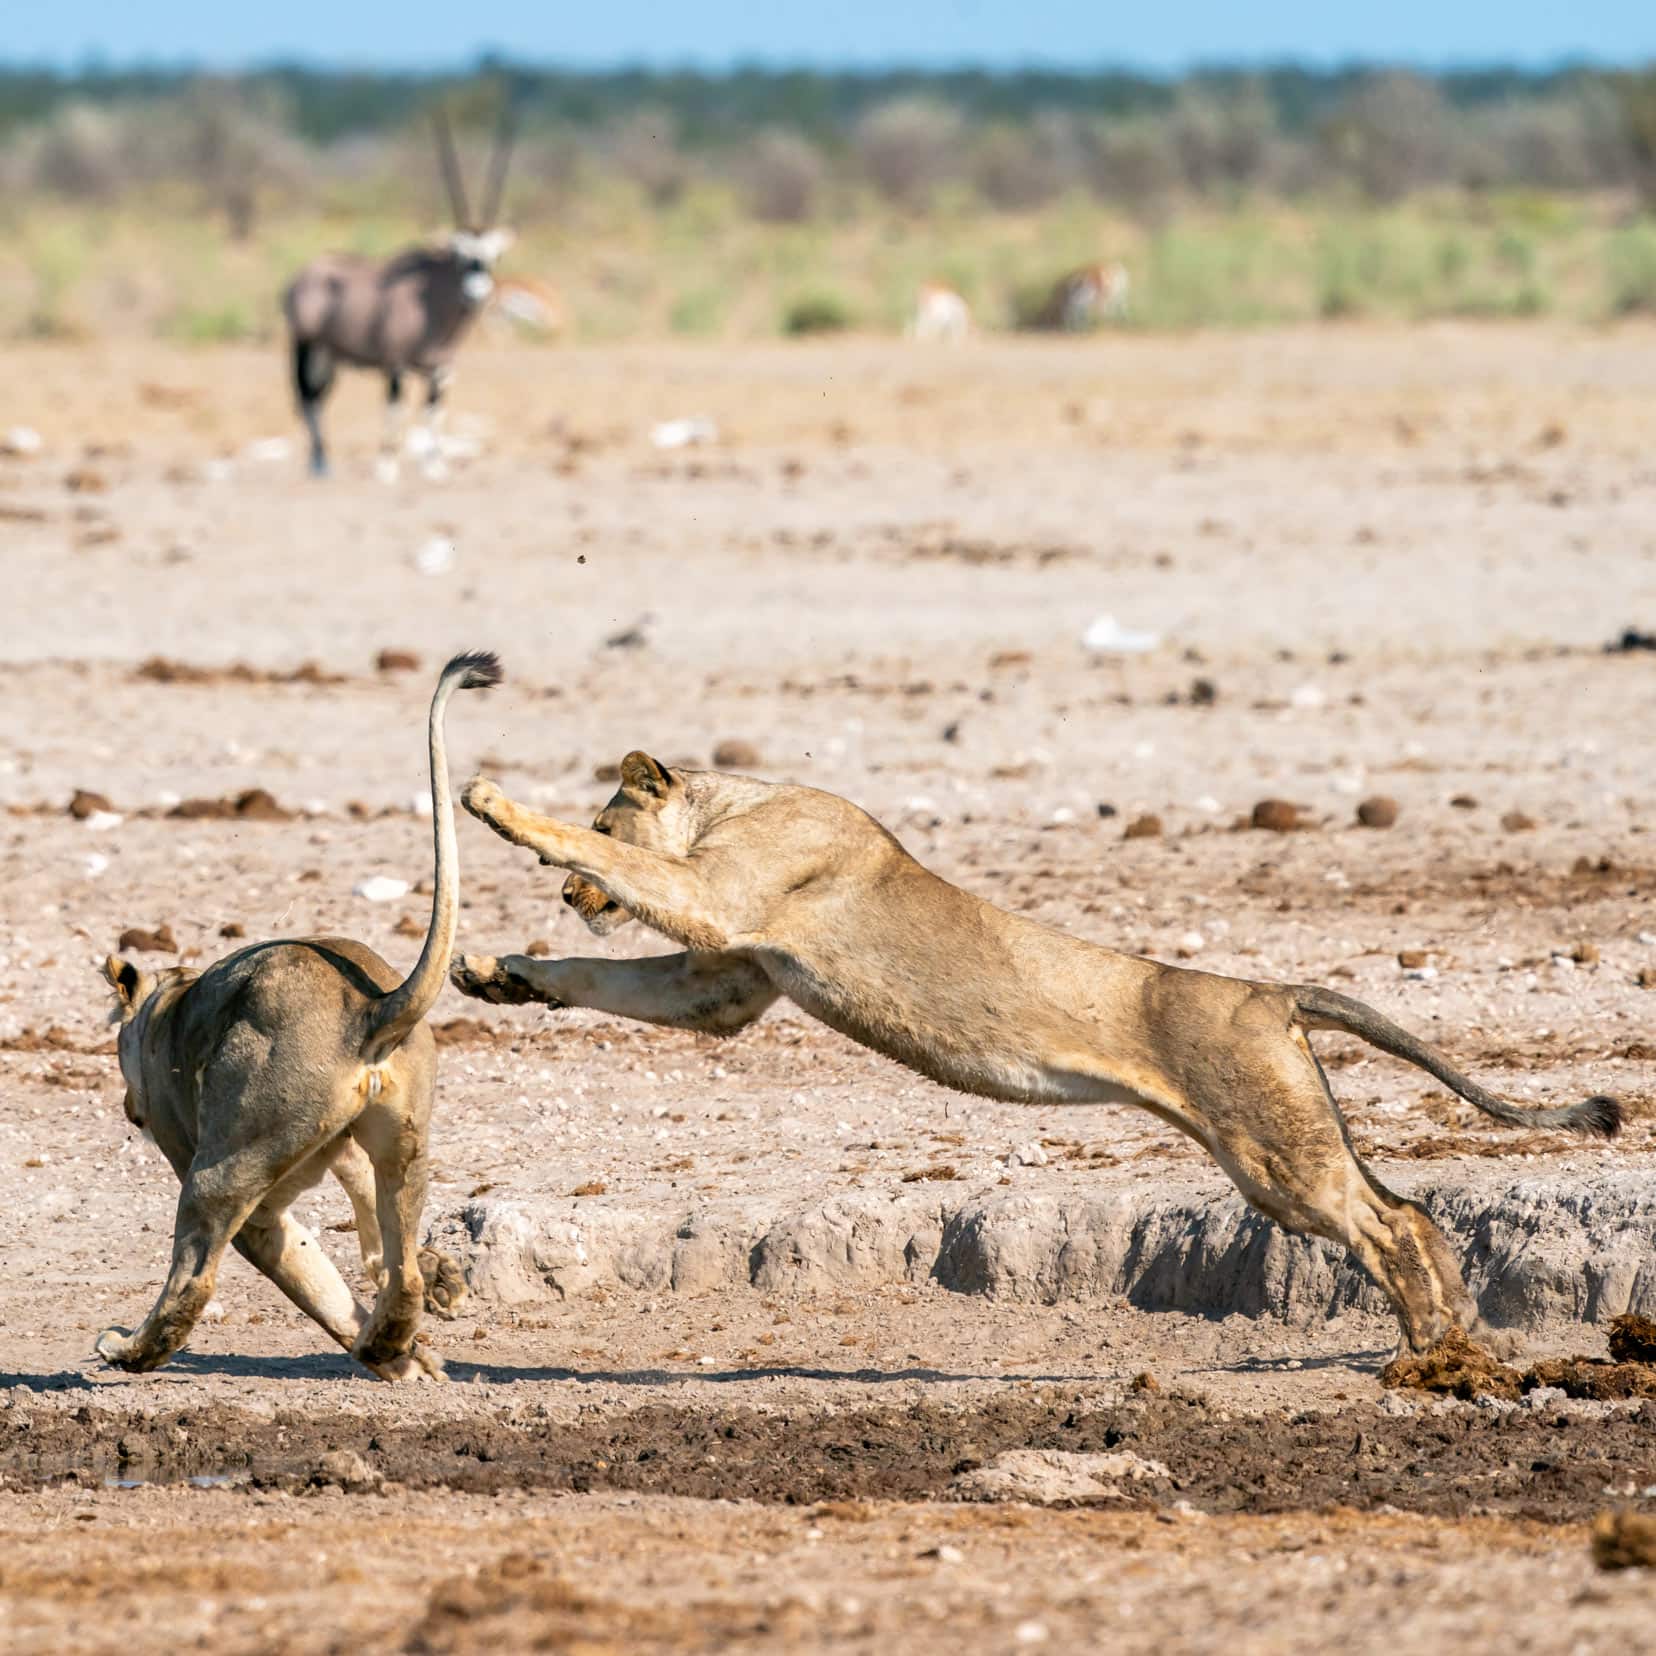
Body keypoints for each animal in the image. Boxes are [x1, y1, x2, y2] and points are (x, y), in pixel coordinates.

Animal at [95, 652, 496, 1377]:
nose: (127, 1108)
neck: (167, 1004)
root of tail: (366, 1007)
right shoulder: (345, 1155)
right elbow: (366, 1239)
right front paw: (422, 1326)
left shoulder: (232, 1177)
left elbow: (309, 1276)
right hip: (404, 1139)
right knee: (402, 1269)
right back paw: (392, 1338)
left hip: (225, 1161)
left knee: (195, 1277)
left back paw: (131, 1350)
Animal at [281, 108, 516, 480]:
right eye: (460, 255)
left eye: (495, 257)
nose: (476, 294)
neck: (433, 302)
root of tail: (305, 274)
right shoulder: (395, 365)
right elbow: (395, 410)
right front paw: (387, 466)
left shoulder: (441, 370)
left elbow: (434, 413)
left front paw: (435, 465)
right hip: (305, 345)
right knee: (307, 397)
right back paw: (319, 462)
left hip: (329, 355)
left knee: (319, 397)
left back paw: (322, 459)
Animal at [450, 758, 1616, 1351]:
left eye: (609, 815)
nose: (571, 900)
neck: (735, 801)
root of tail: (1271, 991)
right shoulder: (728, 980)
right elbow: (604, 979)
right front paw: (496, 974)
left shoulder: (724, 899)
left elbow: (619, 870)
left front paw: (497, 806)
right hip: (1288, 1141)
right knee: (1406, 1206)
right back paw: (1465, 1333)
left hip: (1272, 1150)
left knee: (1390, 1221)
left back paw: (1439, 1351)